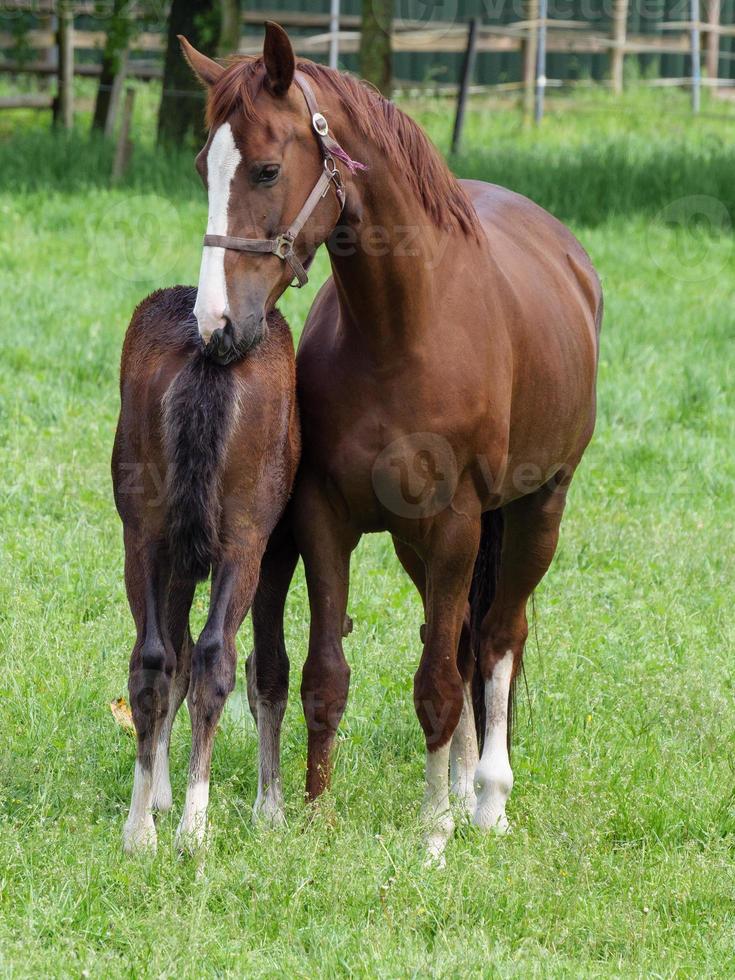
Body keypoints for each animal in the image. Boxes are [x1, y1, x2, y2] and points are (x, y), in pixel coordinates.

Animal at [112, 288, 296, 852]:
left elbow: (173, 656)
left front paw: (158, 798)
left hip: (146, 535)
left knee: (156, 658)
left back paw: (142, 830)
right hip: (245, 539)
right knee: (212, 655)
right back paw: (192, 828)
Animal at [180, 24, 604, 856]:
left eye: (268, 167)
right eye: (202, 167)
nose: (216, 328)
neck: (401, 332)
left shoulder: (455, 525)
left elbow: (437, 681)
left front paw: (433, 833)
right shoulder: (327, 520)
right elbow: (325, 674)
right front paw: (315, 813)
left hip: (535, 510)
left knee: (497, 639)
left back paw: (486, 800)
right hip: (421, 544)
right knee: (465, 637)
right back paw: (465, 785)